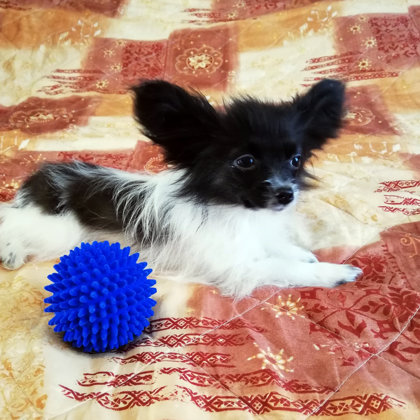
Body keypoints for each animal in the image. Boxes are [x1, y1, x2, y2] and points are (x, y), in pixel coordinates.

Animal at [0, 79, 362, 297]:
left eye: (295, 160)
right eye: (245, 161)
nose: (287, 194)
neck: (237, 210)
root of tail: (40, 179)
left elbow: (277, 248)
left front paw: (301, 253)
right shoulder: (237, 267)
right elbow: (283, 266)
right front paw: (334, 272)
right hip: (57, 231)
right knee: (11, 221)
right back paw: (11, 251)